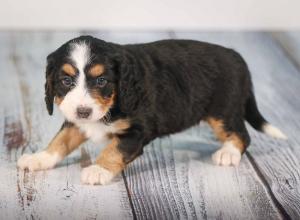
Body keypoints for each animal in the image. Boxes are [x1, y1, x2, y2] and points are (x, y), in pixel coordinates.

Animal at [17, 35, 288, 185]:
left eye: (102, 81)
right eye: (66, 81)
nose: (83, 111)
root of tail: (237, 57)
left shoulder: (137, 130)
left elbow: (113, 150)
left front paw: (98, 170)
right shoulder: (76, 122)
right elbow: (61, 140)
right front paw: (39, 158)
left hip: (223, 110)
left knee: (242, 135)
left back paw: (228, 153)